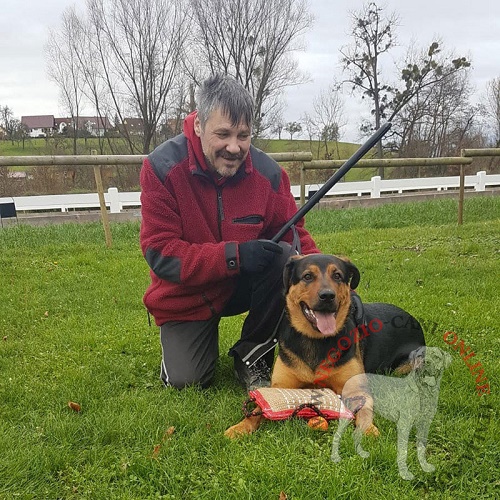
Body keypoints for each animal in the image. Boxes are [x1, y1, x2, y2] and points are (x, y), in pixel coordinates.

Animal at [227, 254, 426, 438]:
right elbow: (258, 409)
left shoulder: (355, 389)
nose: (328, 296)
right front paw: (240, 427)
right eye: (307, 276)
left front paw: (367, 429)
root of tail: (412, 320)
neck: (316, 339)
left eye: (337, 275)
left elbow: (364, 409)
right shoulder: (280, 385)